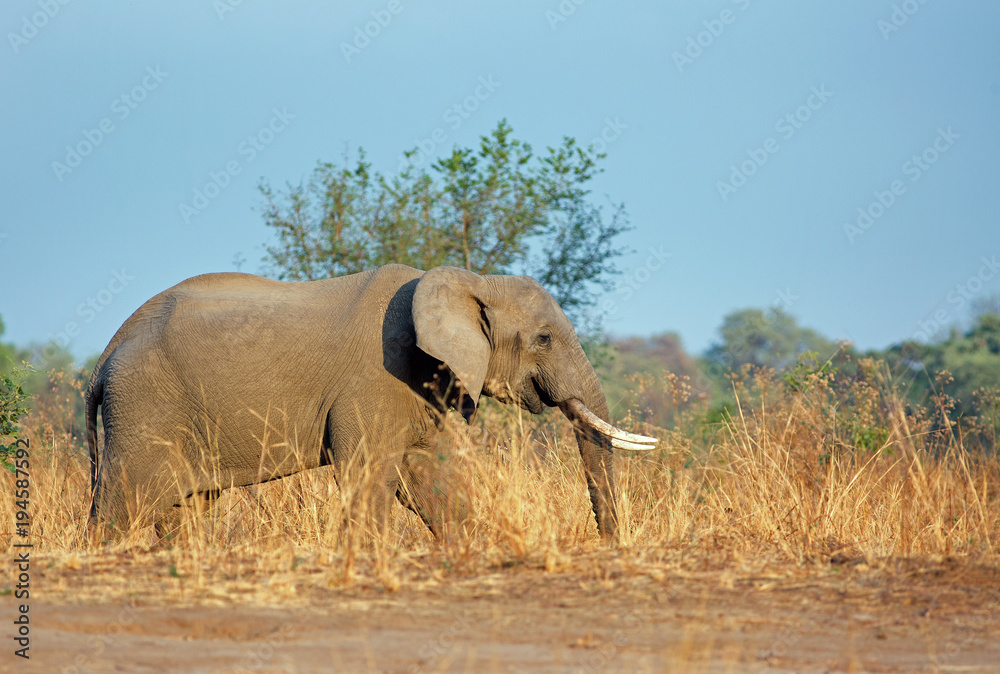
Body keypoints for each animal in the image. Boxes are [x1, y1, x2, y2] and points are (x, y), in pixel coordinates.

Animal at [85, 264, 657, 540]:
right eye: (543, 339)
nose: (609, 545)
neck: (467, 281)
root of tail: (107, 352)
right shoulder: (377, 379)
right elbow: (371, 473)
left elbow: (428, 476)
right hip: (145, 406)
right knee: (122, 505)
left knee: (184, 508)